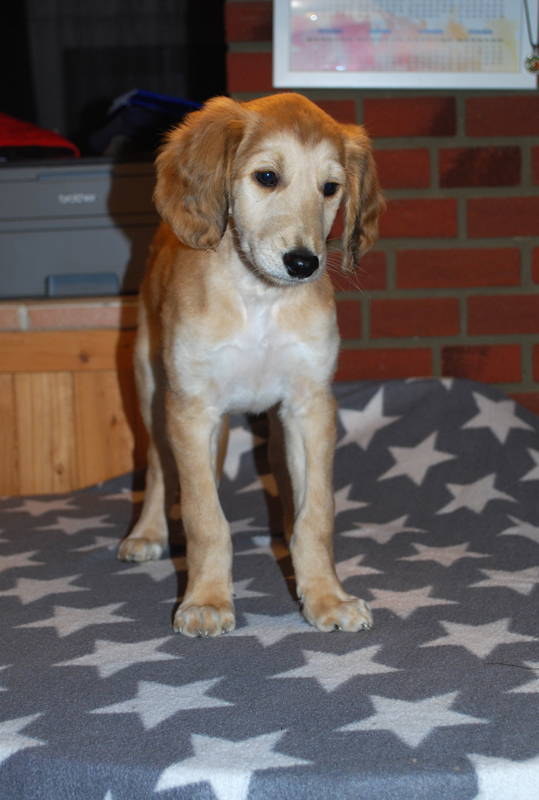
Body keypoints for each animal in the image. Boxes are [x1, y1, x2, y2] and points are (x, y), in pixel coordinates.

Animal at [117, 92, 384, 637]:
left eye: (331, 189)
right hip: (152, 390)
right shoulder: (191, 408)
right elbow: (204, 517)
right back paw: (149, 532)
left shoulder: (309, 407)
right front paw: (206, 599)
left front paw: (326, 596)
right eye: (267, 177)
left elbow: (316, 514)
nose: (304, 264)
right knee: (157, 467)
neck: (259, 299)